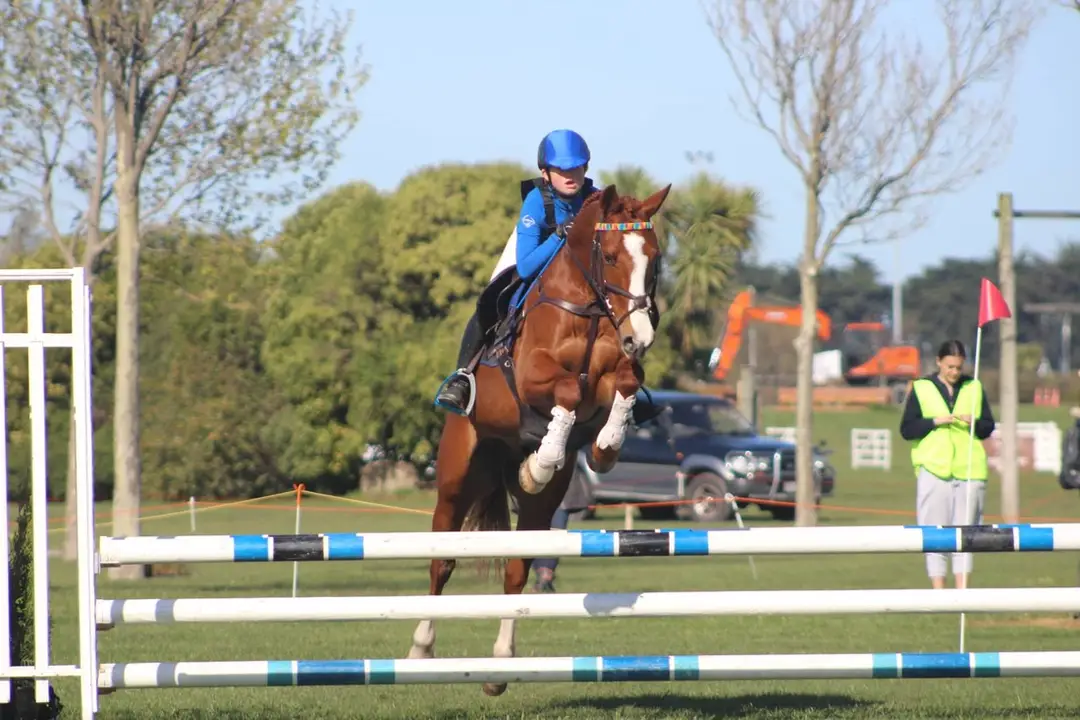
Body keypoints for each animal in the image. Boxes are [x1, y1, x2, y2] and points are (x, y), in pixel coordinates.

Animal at [406, 182, 671, 697]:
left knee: (517, 568)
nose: (641, 338)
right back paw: (421, 649)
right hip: (456, 481)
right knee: (441, 562)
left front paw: (602, 449)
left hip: (539, 507)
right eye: (611, 256)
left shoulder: (610, 375)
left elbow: (625, 383)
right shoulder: (532, 377)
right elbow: (566, 388)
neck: (586, 307)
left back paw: (499, 666)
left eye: (655, 258)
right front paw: (545, 456)